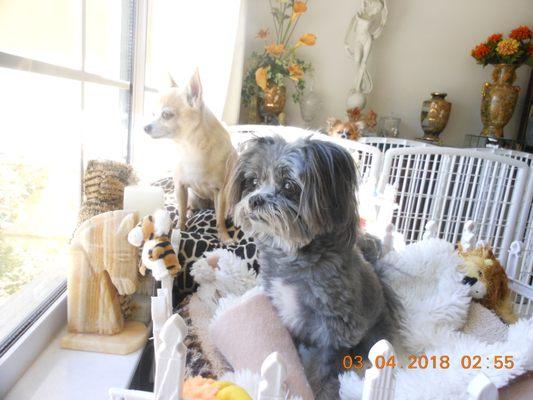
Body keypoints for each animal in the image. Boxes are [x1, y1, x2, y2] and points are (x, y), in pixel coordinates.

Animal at [224, 136, 400, 398]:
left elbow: (322, 370)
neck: (291, 255)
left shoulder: (334, 329)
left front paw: (321, 391)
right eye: (253, 182)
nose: (255, 199)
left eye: (289, 185)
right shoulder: (284, 313)